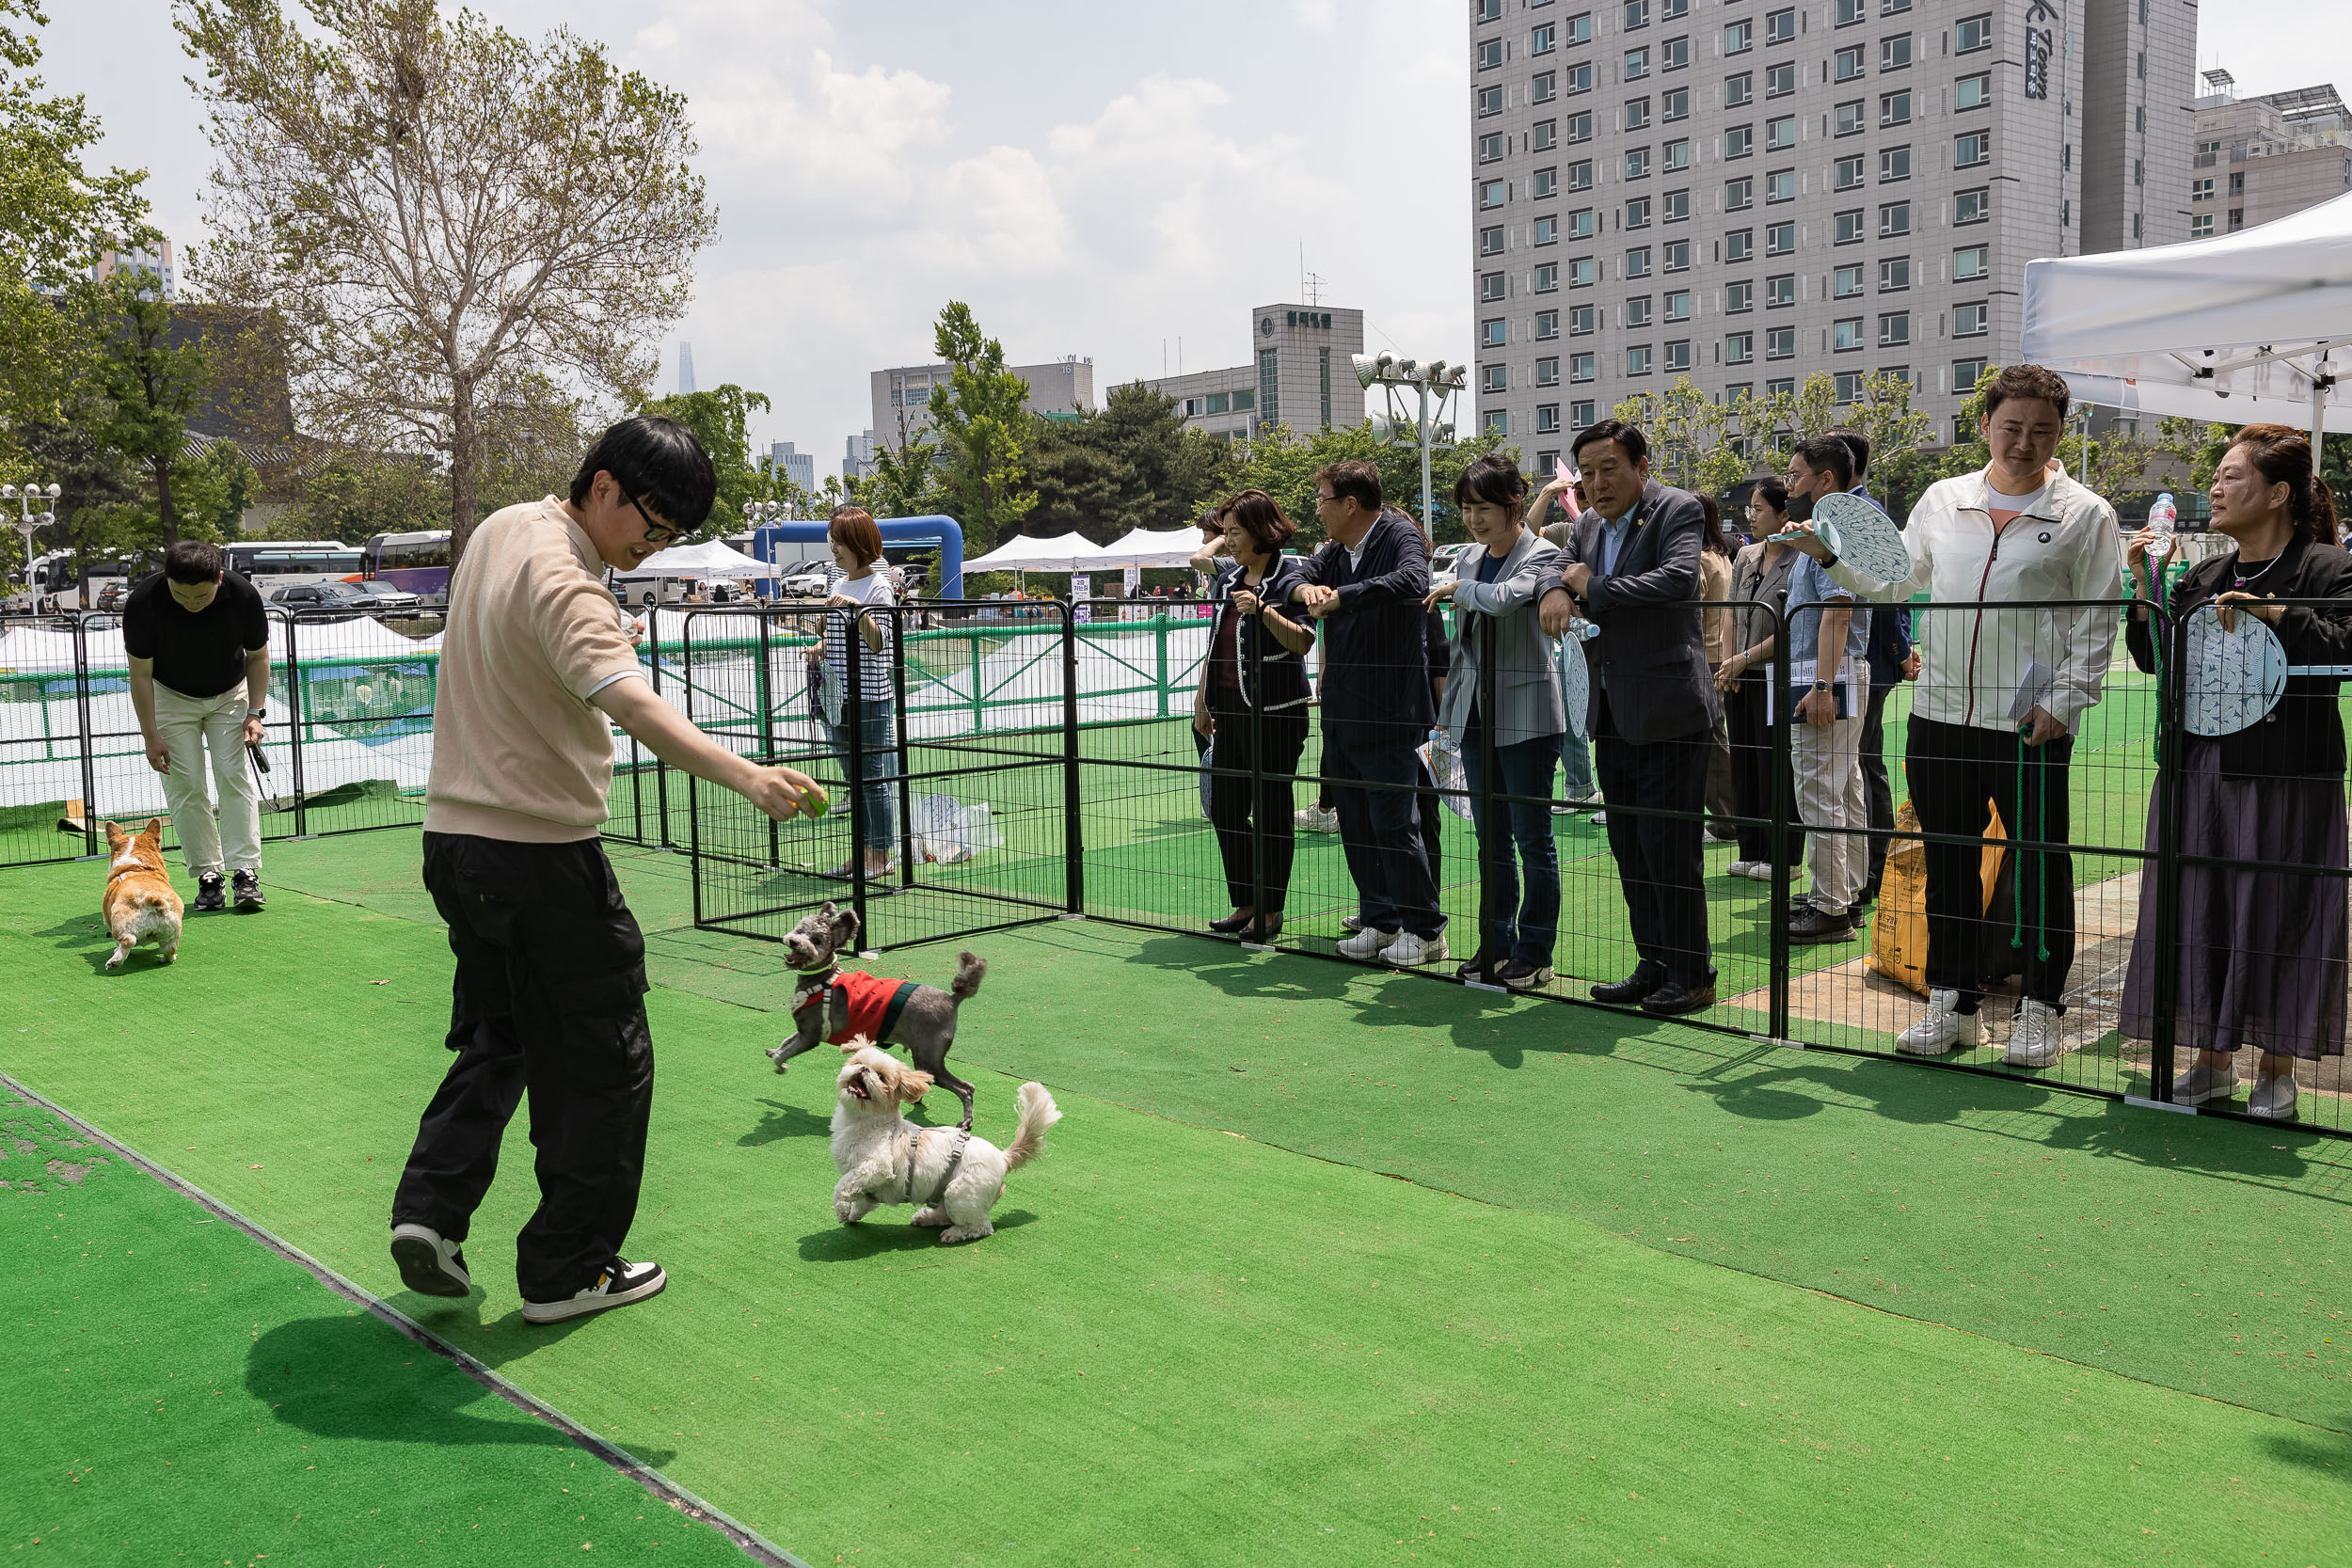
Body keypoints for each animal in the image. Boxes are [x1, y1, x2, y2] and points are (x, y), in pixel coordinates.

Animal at [103, 822, 183, 968]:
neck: (137, 866)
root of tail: (152, 899)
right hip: (172, 931)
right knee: (169, 949)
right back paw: (167, 958)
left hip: (120, 924)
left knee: (128, 940)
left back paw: (115, 961)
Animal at [823, 1034, 1054, 1241]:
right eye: (857, 1062)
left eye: (880, 1076)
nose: (864, 1069)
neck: (860, 1121)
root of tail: (1003, 1157)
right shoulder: (869, 1187)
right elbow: (861, 1201)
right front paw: (851, 1214)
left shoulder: (877, 1167)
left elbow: (843, 1185)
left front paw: (841, 1209)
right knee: (946, 1214)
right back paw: (926, 1218)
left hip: (960, 1194)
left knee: (981, 1227)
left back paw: (954, 1234)